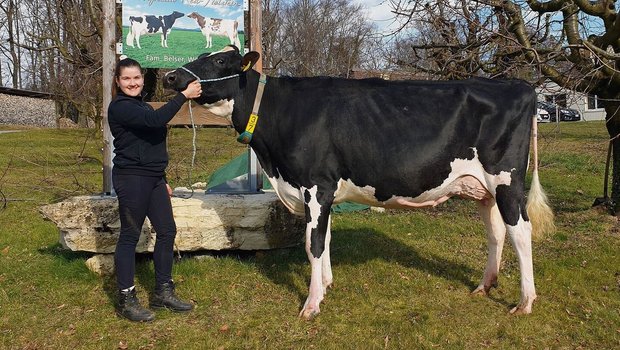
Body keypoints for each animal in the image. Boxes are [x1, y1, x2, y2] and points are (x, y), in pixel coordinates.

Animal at [162, 45, 556, 318]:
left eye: (218, 63)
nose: (170, 78)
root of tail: (518, 85)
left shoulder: (315, 185)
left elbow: (312, 244)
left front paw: (311, 303)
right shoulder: (325, 192)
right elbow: (325, 239)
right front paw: (326, 285)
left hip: (506, 180)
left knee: (521, 230)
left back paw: (525, 301)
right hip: (482, 188)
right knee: (497, 232)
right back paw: (484, 286)